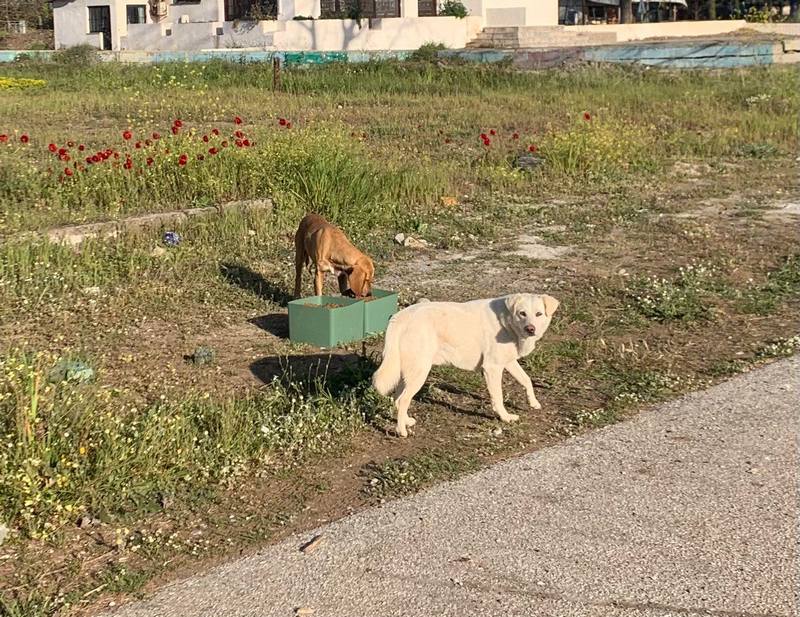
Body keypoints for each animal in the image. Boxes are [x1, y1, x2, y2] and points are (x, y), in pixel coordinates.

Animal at [373, 293, 559, 437]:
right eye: (522, 313)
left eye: (539, 314)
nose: (530, 329)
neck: (507, 322)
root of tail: (400, 317)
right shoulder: (492, 368)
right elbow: (498, 397)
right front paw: (505, 417)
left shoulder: (508, 362)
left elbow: (526, 380)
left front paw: (533, 402)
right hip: (419, 372)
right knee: (403, 400)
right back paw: (401, 431)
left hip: (407, 372)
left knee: (397, 399)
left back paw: (407, 421)